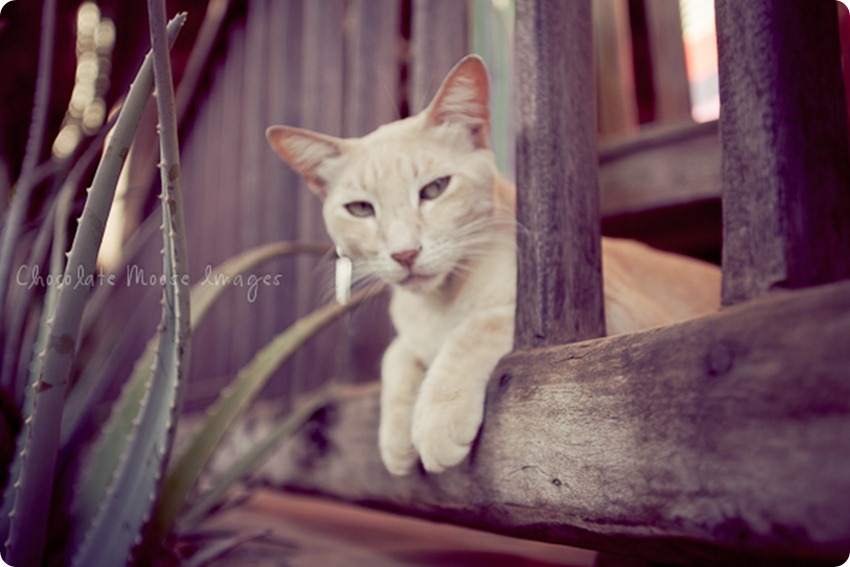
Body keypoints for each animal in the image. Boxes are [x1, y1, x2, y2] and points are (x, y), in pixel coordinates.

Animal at [264, 56, 716, 474]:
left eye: (434, 189)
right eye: (359, 209)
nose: (404, 254)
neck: (440, 303)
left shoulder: (619, 319)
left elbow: (478, 326)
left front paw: (435, 420)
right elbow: (396, 352)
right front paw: (395, 440)